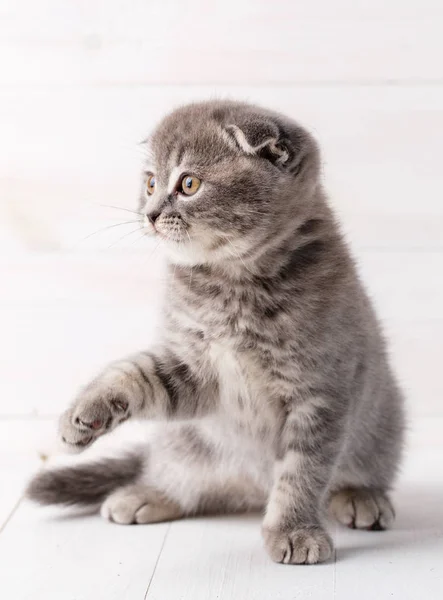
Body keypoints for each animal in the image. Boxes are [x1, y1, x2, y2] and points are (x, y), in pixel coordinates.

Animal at [26, 98, 406, 564]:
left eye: (188, 184)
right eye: (150, 183)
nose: (150, 214)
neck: (233, 285)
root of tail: (251, 488)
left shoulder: (319, 392)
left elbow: (302, 471)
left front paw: (294, 530)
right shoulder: (197, 368)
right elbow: (138, 374)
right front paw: (86, 412)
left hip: (382, 425)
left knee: (359, 472)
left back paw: (361, 497)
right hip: (187, 444)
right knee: (188, 483)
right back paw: (147, 494)